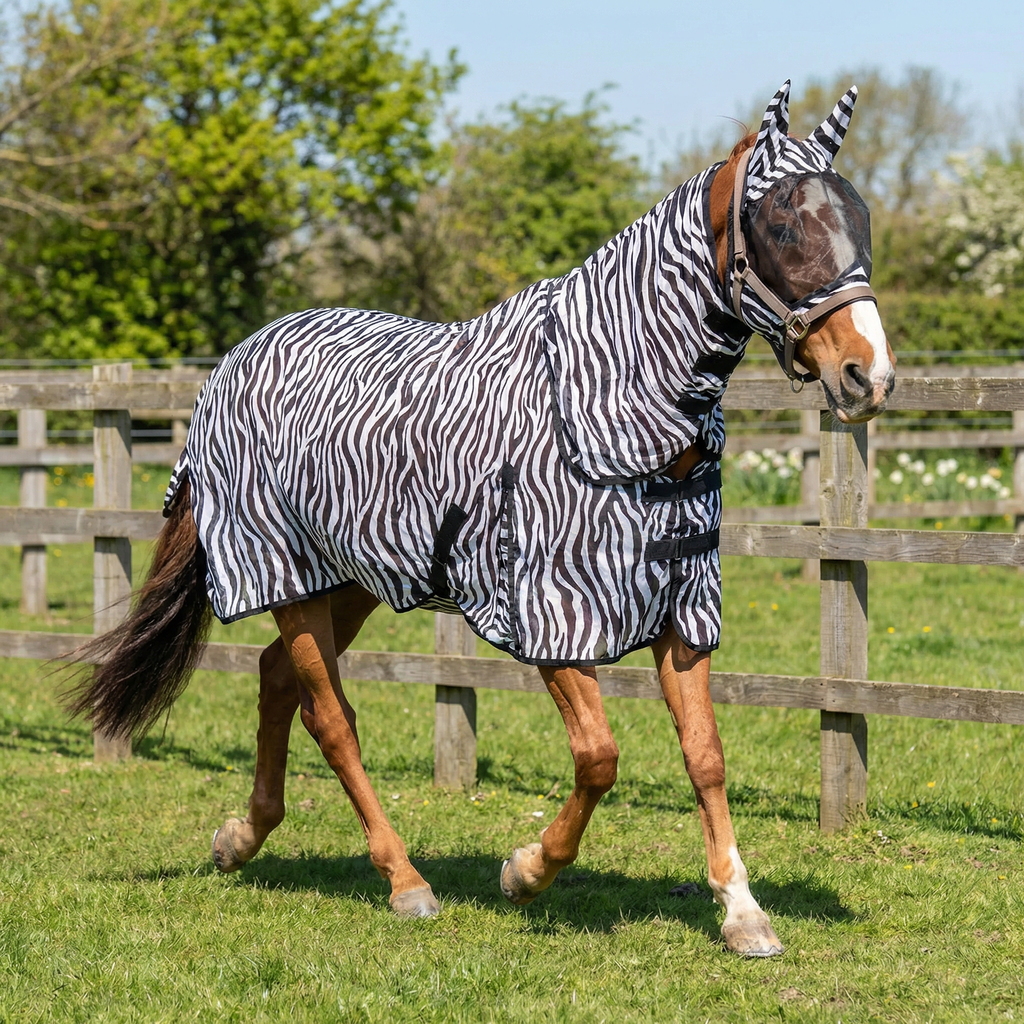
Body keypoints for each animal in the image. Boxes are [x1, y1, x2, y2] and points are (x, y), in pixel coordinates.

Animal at [67, 81, 895, 957]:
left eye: (860, 218)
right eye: (782, 225)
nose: (869, 377)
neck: (603, 406)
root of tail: (233, 362)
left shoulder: (681, 606)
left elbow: (705, 756)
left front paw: (742, 912)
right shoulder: (552, 613)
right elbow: (598, 757)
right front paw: (526, 872)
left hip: (353, 579)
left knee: (274, 681)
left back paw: (240, 839)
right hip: (284, 574)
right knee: (330, 717)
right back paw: (405, 883)